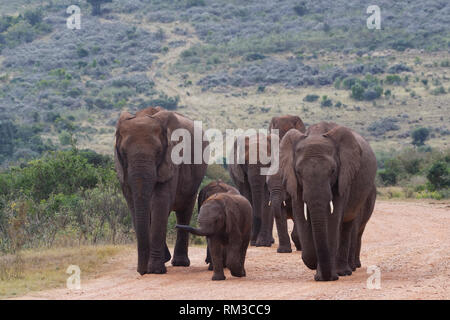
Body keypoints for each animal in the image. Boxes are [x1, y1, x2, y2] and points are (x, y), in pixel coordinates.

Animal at [115, 107, 208, 276]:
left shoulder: (171, 160)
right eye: (123, 152)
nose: (141, 272)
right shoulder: (122, 169)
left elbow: (160, 202)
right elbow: (133, 204)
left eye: (159, 152)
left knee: (184, 210)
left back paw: (179, 263)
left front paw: (155, 270)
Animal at [280, 121, 378, 282]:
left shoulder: (344, 176)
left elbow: (333, 219)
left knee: (347, 225)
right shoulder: (293, 181)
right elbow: (300, 214)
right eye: (299, 172)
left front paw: (326, 276)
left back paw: (343, 272)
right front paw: (314, 263)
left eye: (332, 171)